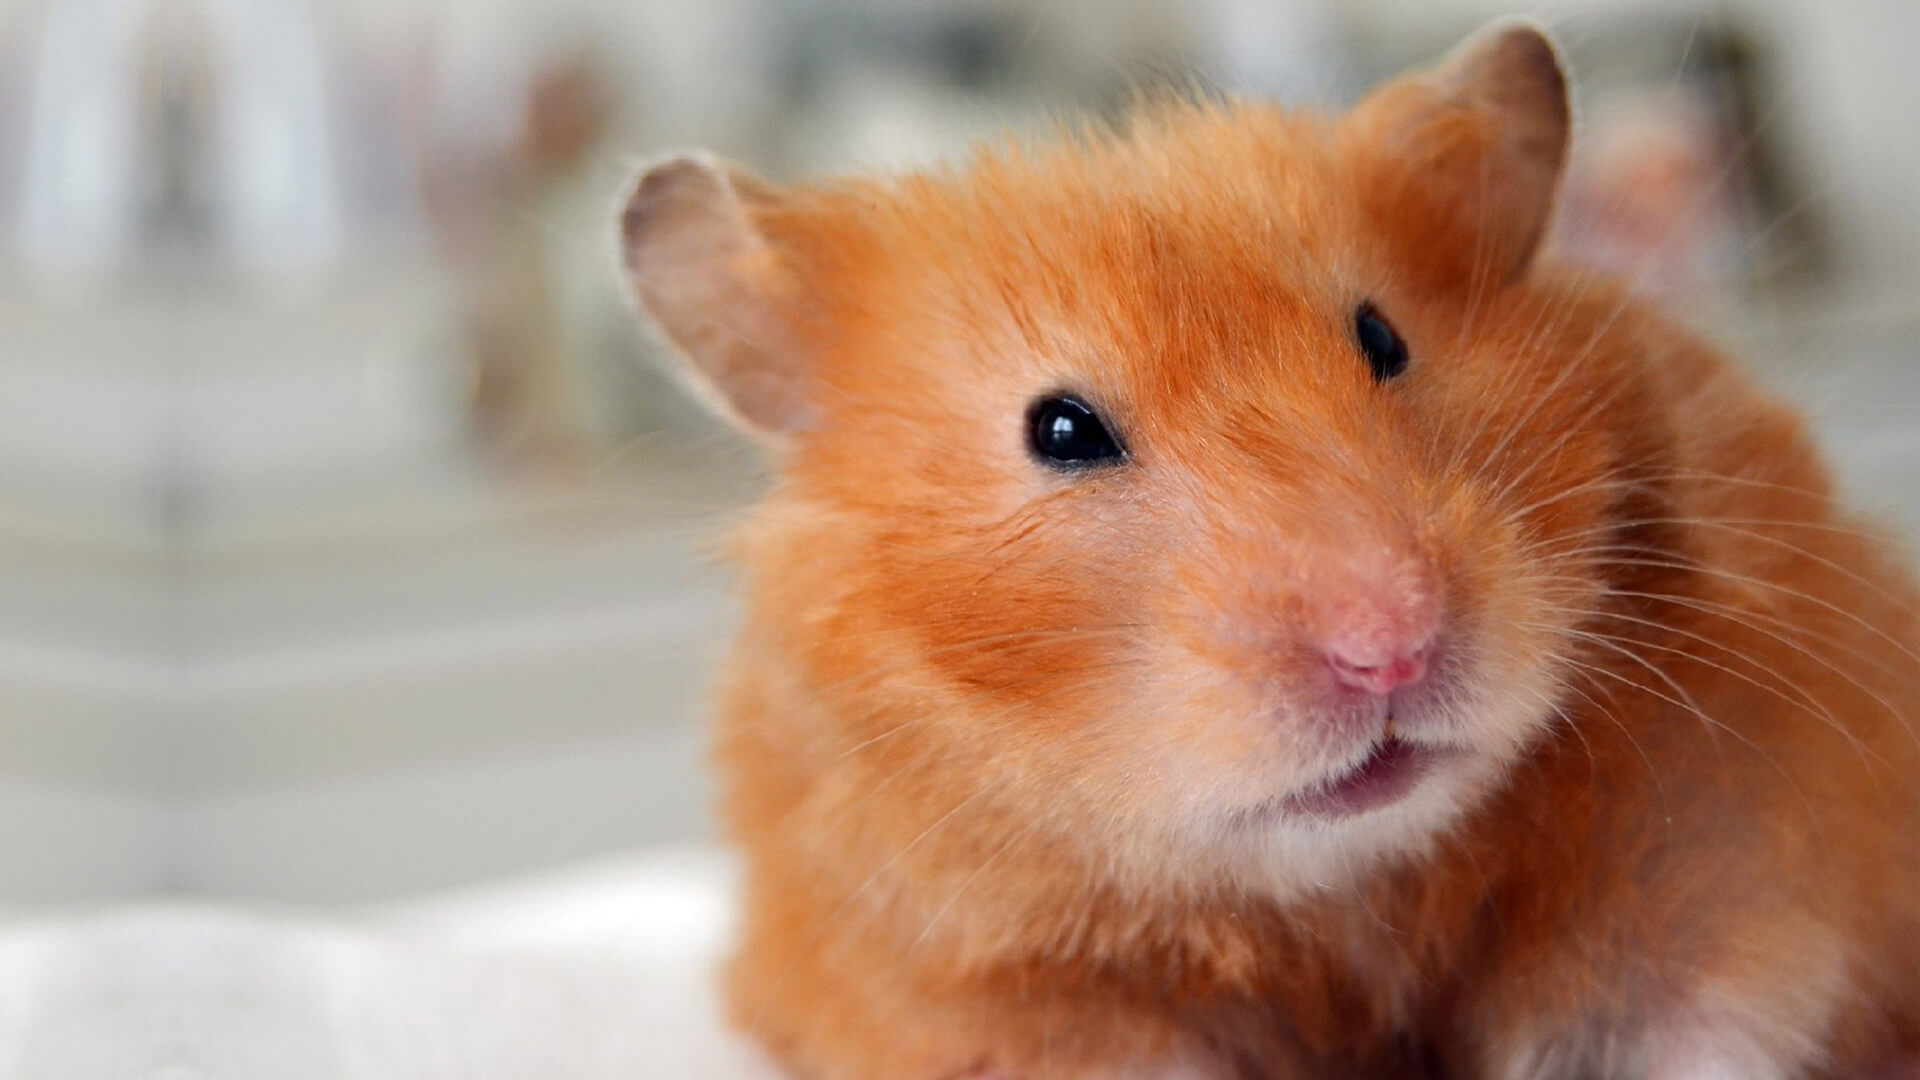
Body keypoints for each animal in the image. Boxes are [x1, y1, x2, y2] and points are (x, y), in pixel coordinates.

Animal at [621, 20, 1920, 1080]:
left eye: (1385, 339)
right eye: (1060, 430)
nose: (1389, 651)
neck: (1343, 888)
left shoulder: (1722, 847)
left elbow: (1662, 1018)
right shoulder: (965, 988)